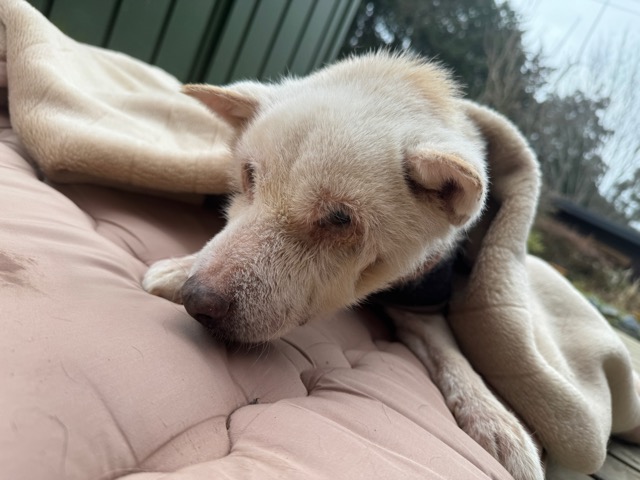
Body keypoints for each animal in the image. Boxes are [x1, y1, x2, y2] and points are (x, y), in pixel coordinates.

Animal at [143, 52, 544, 479]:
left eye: (340, 218)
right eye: (249, 175)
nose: (196, 299)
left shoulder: (425, 302)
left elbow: (454, 359)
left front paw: (496, 420)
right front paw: (178, 268)